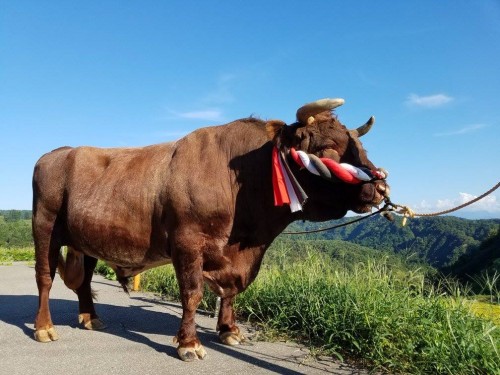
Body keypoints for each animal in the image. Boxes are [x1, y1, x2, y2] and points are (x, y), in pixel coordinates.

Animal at [33, 98, 388, 362]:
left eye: (361, 147)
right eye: (327, 149)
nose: (381, 187)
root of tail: (59, 152)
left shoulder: (236, 255)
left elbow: (230, 292)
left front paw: (229, 330)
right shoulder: (188, 243)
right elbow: (192, 294)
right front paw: (189, 344)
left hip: (85, 240)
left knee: (84, 282)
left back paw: (91, 318)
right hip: (45, 226)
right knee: (45, 278)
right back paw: (44, 328)